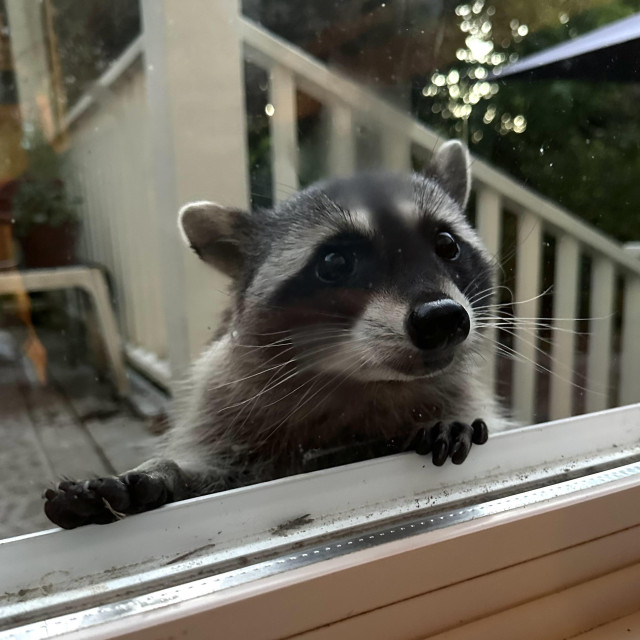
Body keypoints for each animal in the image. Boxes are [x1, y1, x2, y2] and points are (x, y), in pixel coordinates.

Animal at [44, 140, 506, 529]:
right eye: (336, 262)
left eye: (447, 245)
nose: (443, 319)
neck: (359, 381)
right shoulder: (227, 413)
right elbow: (218, 469)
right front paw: (164, 471)